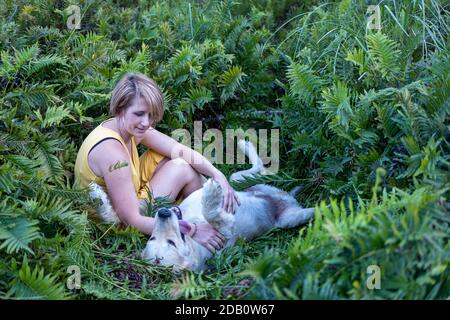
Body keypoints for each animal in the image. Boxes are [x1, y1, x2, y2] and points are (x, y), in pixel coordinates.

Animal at [89, 139, 316, 270]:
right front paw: (211, 197)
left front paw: (96, 195)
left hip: (240, 181)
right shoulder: (225, 233)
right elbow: (214, 216)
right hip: (289, 218)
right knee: (312, 211)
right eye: (161, 240)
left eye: (154, 238)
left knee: (249, 170)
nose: (163, 213)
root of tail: (287, 197)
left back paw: (245, 146)